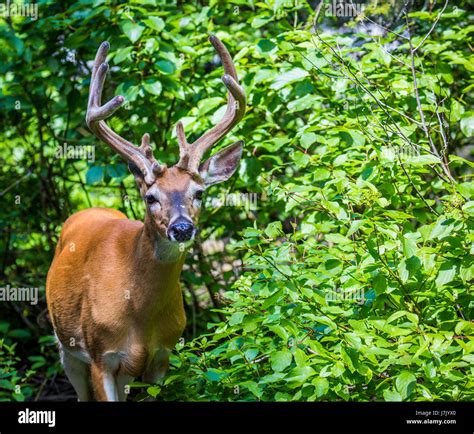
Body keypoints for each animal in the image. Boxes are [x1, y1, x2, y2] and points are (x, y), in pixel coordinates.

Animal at [45, 35, 246, 402]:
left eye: (199, 193)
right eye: (151, 197)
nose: (182, 228)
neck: (139, 315)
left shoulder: (162, 356)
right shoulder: (101, 356)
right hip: (66, 346)